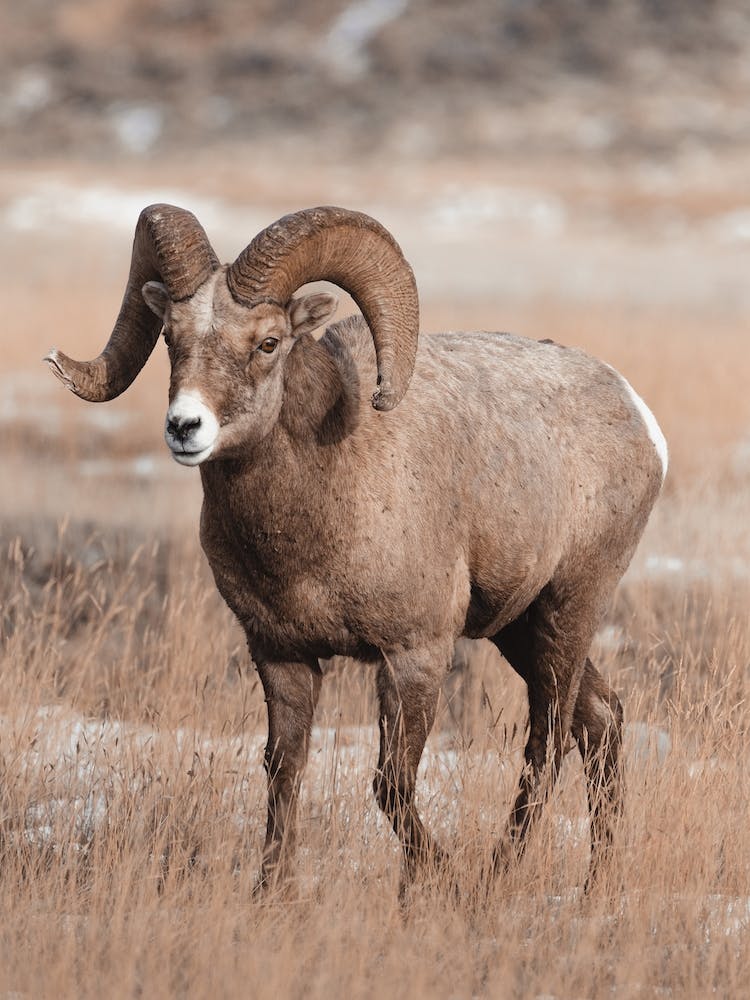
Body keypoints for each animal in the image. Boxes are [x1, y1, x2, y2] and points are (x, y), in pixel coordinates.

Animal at [45, 203, 667, 897]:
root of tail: (638, 416)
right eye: (172, 339)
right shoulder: (282, 657)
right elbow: (283, 772)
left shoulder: (413, 655)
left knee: (549, 743)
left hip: (567, 608)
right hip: (519, 628)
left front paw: (441, 881)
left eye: (268, 343)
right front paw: (271, 893)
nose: (185, 427)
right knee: (603, 721)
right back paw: (594, 887)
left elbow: (390, 784)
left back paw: (496, 877)